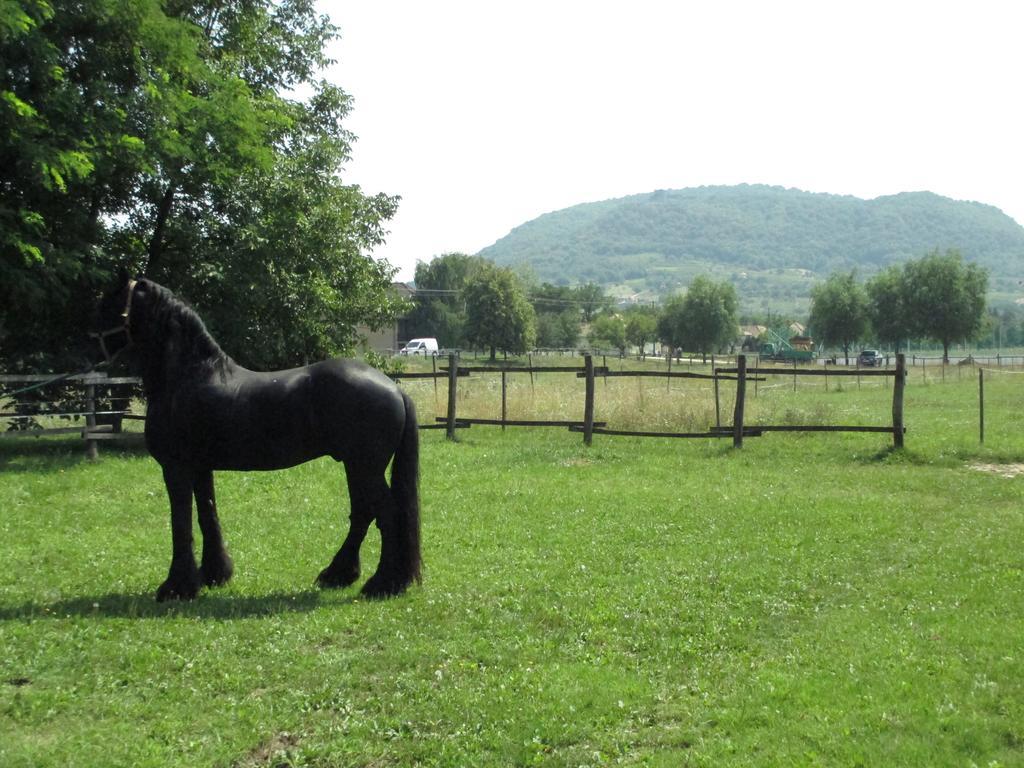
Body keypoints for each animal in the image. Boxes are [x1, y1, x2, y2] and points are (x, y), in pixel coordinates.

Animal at [93, 276, 419, 602]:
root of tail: (393, 387)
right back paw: (339, 574)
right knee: (363, 514)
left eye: (109, 302)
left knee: (386, 514)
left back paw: (383, 584)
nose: (90, 348)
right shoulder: (200, 468)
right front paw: (213, 574)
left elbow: (181, 523)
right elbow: (207, 514)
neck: (190, 377)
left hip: (365, 468)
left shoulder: (176, 469)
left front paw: (176, 587)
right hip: (356, 467)